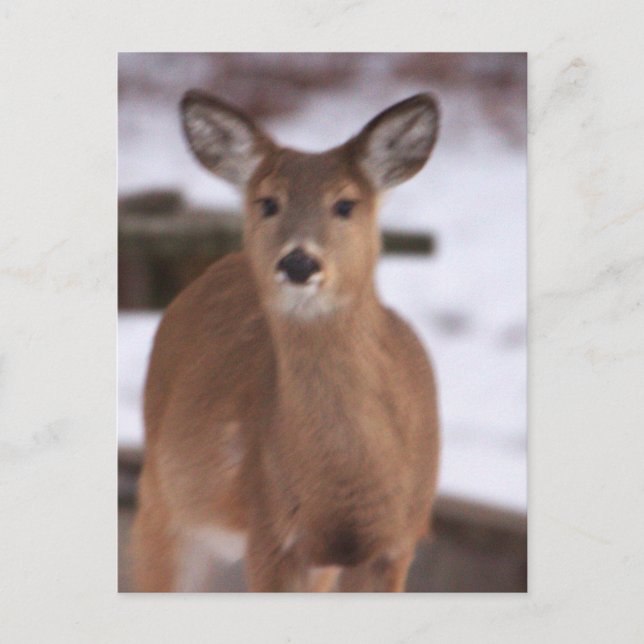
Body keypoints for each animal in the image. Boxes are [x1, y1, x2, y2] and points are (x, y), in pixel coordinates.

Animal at [131, 90, 441, 592]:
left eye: (345, 204)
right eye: (268, 202)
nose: (298, 262)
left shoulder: (396, 543)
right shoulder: (271, 532)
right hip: (162, 503)